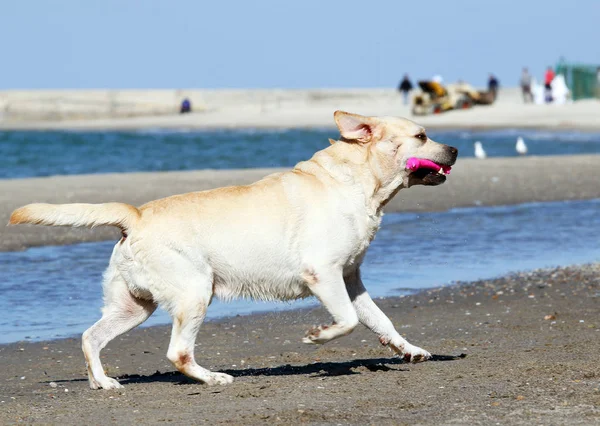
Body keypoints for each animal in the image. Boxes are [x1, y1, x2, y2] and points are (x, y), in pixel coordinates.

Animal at [9, 110, 458, 390]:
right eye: (421, 136)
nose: (455, 150)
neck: (359, 183)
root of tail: (135, 214)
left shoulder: (350, 278)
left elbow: (381, 320)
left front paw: (410, 350)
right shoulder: (323, 274)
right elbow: (346, 320)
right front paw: (319, 335)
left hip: (133, 307)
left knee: (90, 337)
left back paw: (102, 381)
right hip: (195, 292)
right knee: (178, 352)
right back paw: (213, 378)